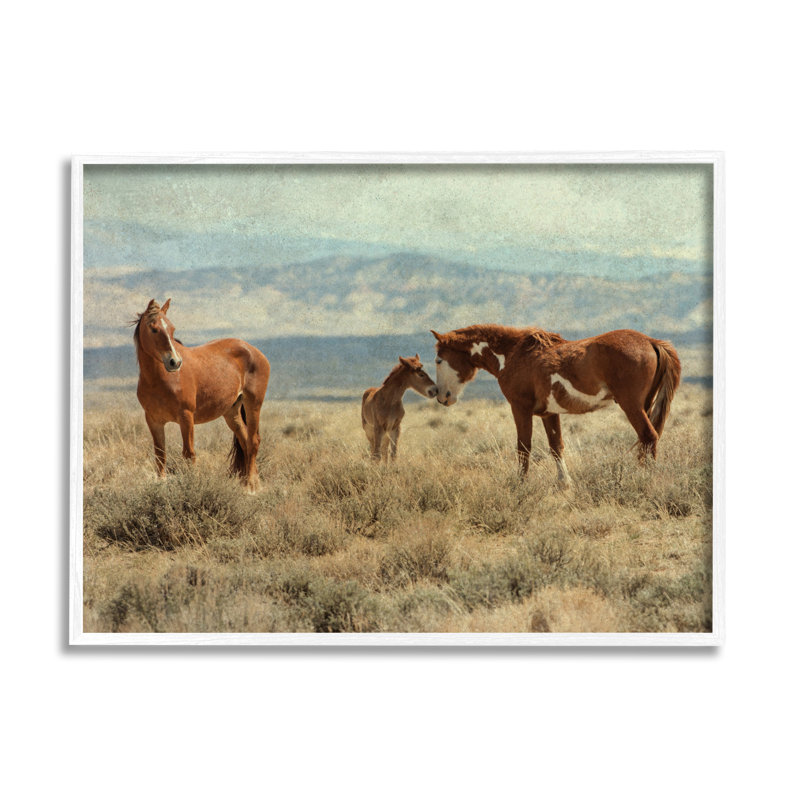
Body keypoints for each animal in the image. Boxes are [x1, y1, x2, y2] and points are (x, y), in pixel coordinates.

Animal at [133, 299, 270, 492]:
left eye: (172, 329)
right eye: (154, 329)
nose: (175, 362)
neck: (159, 379)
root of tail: (253, 350)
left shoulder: (186, 417)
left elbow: (189, 453)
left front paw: (191, 485)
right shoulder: (153, 420)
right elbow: (160, 455)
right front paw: (161, 485)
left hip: (254, 404)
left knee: (254, 441)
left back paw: (251, 486)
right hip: (231, 412)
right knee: (245, 442)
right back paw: (250, 483)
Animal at [430, 325, 681, 485]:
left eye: (439, 360)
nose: (441, 396)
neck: (513, 354)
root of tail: (651, 342)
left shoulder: (520, 408)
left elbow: (523, 447)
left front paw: (520, 484)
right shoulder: (549, 414)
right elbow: (556, 446)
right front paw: (564, 484)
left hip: (631, 406)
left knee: (649, 436)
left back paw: (646, 479)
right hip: (645, 405)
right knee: (645, 440)